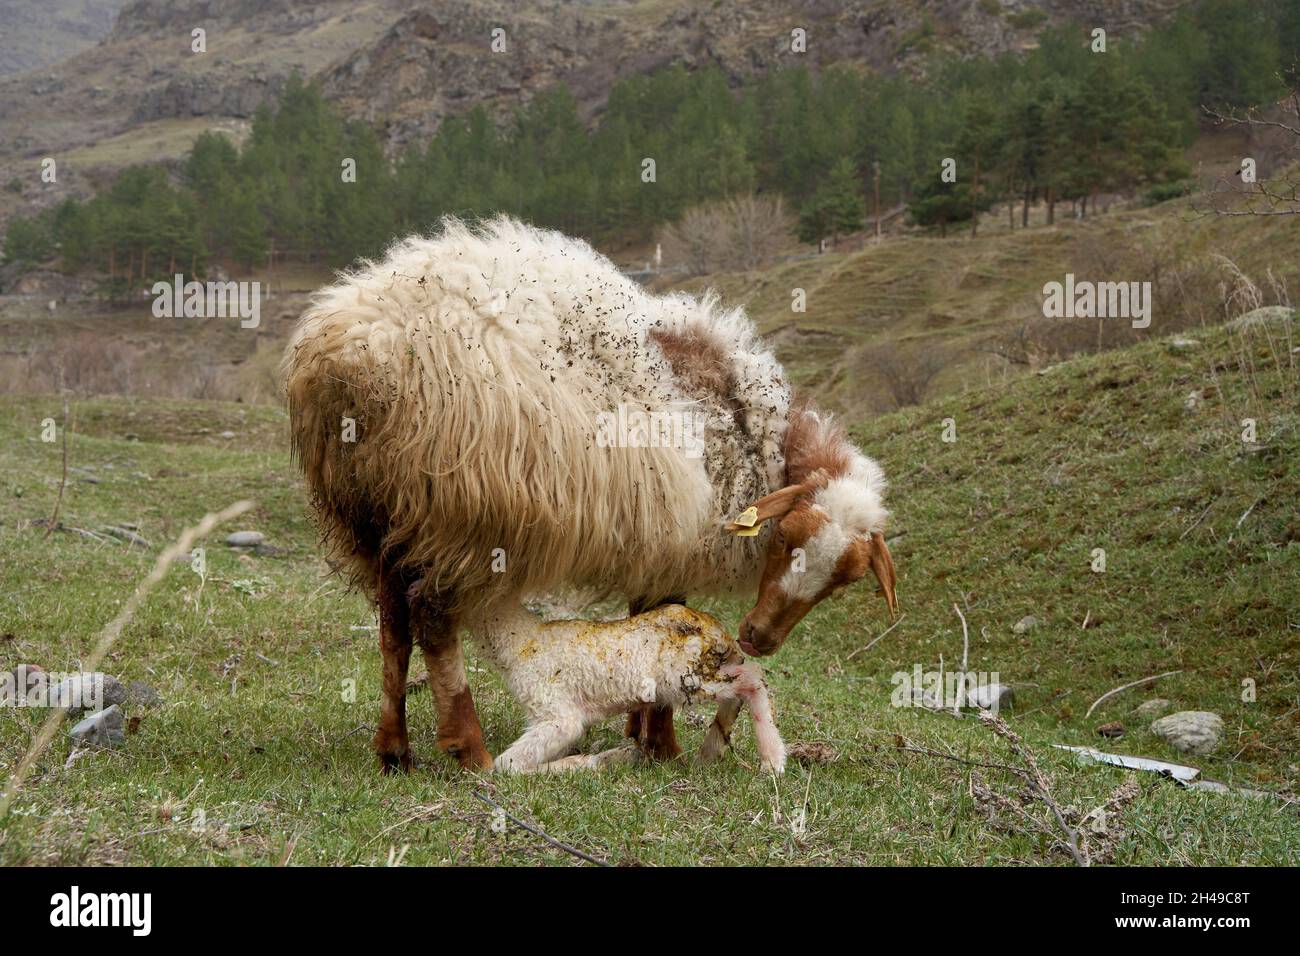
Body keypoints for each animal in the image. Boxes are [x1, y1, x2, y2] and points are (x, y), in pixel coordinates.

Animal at [463, 601, 784, 774]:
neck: (522, 640)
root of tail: (720, 633)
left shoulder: (555, 710)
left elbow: (507, 764)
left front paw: (591, 762)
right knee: (746, 680)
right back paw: (710, 752)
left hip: (686, 676)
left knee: (754, 677)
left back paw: (773, 760)